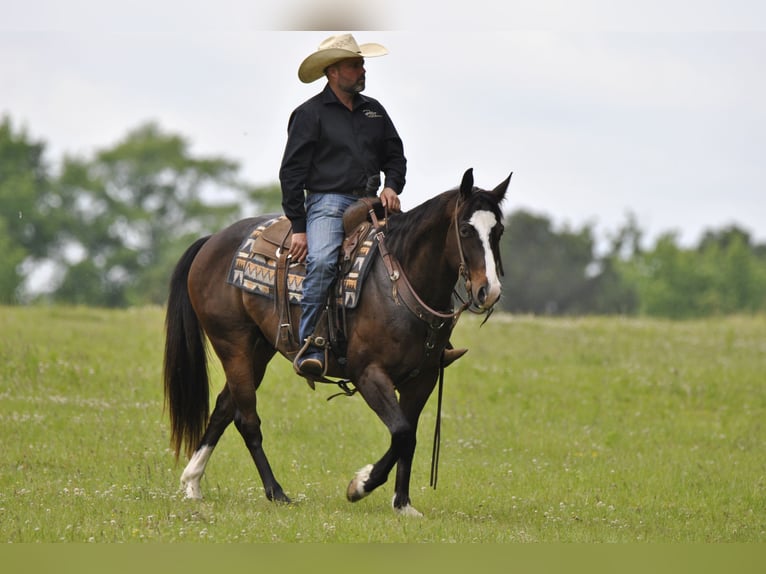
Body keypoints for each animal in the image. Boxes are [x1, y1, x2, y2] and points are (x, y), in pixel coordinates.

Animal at [163, 168, 510, 516]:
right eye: (465, 229)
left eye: (499, 230)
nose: (489, 291)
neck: (397, 283)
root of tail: (211, 241)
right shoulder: (369, 374)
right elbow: (401, 434)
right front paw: (361, 485)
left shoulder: (422, 379)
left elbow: (408, 437)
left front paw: (402, 504)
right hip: (232, 345)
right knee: (246, 420)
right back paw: (276, 492)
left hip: (258, 352)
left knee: (223, 408)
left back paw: (192, 482)